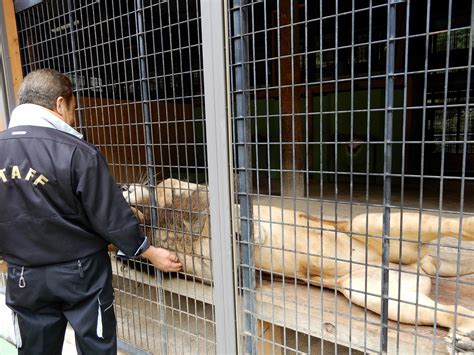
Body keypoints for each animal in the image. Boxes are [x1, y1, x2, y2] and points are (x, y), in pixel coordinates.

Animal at [122, 179, 474, 352]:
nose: (122, 186)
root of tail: (424, 264)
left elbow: (200, 199)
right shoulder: (204, 267)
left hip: (370, 223)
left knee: (452, 225)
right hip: (376, 293)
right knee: (452, 311)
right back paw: (464, 338)